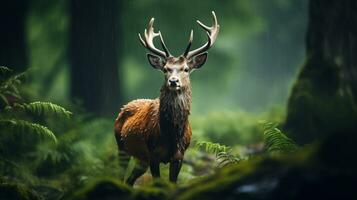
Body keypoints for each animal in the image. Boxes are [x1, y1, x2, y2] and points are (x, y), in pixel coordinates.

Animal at [115, 11, 218, 185]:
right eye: (165, 69)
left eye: (186, 69)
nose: (173, 81)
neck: (171, 135)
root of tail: (125, 107)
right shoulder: (153, 155)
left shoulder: (179, 156)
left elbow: (172, 183)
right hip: (121, 147)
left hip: (141, 159)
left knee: (129, 180)